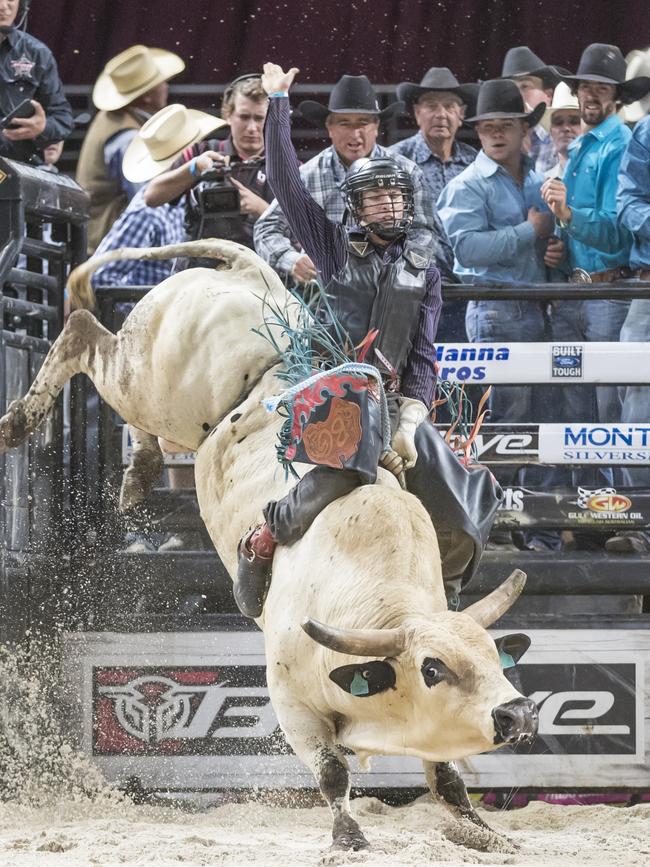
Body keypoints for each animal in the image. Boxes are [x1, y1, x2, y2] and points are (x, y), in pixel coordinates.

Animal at [1, 241, 536, 852]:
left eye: (493, 653)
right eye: (433, 668)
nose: (518, 714)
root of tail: (250, 269)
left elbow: (446, 778)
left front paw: (486, 833)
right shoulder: (291, 703)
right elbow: (332, 772)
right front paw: (349, 836)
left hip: (164, 400)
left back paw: (139, 473)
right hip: (155, 380)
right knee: (84, 333)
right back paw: (19, 422)